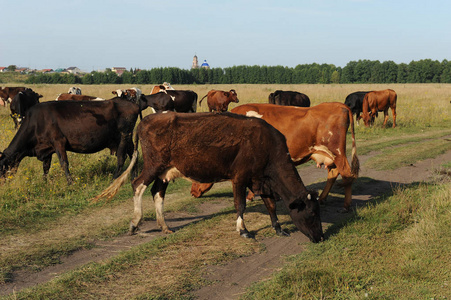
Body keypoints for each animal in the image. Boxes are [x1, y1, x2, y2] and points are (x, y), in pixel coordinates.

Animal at [0, 97, 139, 184]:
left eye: (1, 167)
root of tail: (132, 103)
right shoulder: (46, 148)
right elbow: (46, 167)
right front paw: (44, 182)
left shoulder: (59, 142)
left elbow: (64, 163)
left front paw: (70, 183)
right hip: (127, 138)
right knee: (133, 154)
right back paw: (134, 176)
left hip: (123, 136)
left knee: (121, 159)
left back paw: (113, 180)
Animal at [93, 111, 324, 243]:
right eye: (312, 213)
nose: (321, 238)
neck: (265, 144)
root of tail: (146, 120)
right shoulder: (240, 177)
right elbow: (240, 205)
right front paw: (244, 231)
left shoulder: (262, 180)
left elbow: (271, 206)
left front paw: (278, 229)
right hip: (152, 165)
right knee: (137, 185)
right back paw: (135, 222)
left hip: (164, 171)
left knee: (157, 193)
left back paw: (164, 226)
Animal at [192, 103, 362, 213]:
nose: (192, 192)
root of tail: (338, 104)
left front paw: (250, 197)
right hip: (329, 155)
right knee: (333, 174)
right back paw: (321, 199)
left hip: (337, 152)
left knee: (346, 175)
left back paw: (346, 206)